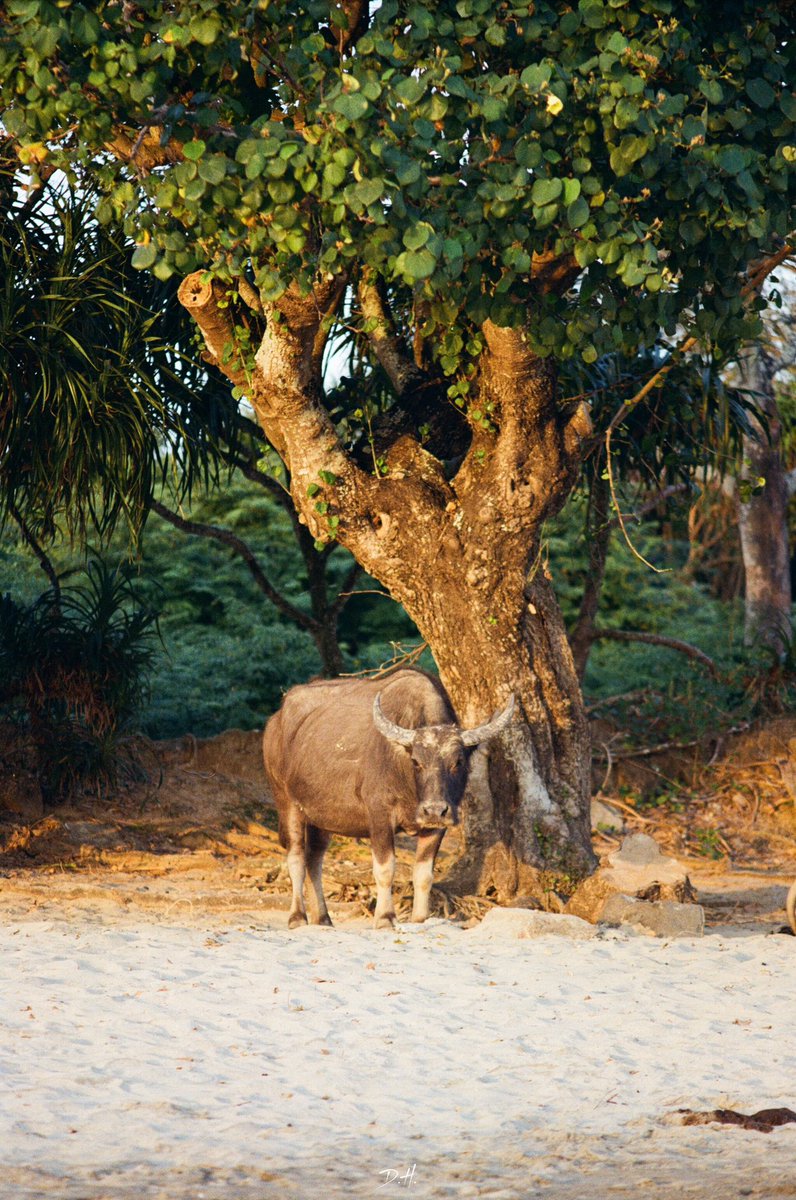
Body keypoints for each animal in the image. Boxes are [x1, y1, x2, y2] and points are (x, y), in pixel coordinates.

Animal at [263, 668, 514, 929]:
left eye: (458, 762)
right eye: (416, 762)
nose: (434, 810)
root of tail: (275, 721)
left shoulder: (437, 826)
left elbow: (424, 874)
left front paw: (420, 918)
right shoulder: (379, 816)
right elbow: (385, 869)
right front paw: (385, 917)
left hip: (320, 819)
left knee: (315, 859)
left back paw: (322, 919)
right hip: (286, 802)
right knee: (296, 858)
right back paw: (298, 917)